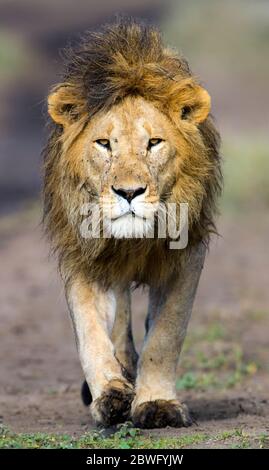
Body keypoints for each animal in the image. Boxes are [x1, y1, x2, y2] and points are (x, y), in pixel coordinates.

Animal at [43, 17, 221, 430]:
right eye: (104, 144)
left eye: (154, 142)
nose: (128, 192)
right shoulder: (82, 252)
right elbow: (91, 333)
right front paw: (110, 394)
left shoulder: (185, 256)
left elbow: (165, 334)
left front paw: (156, 404)